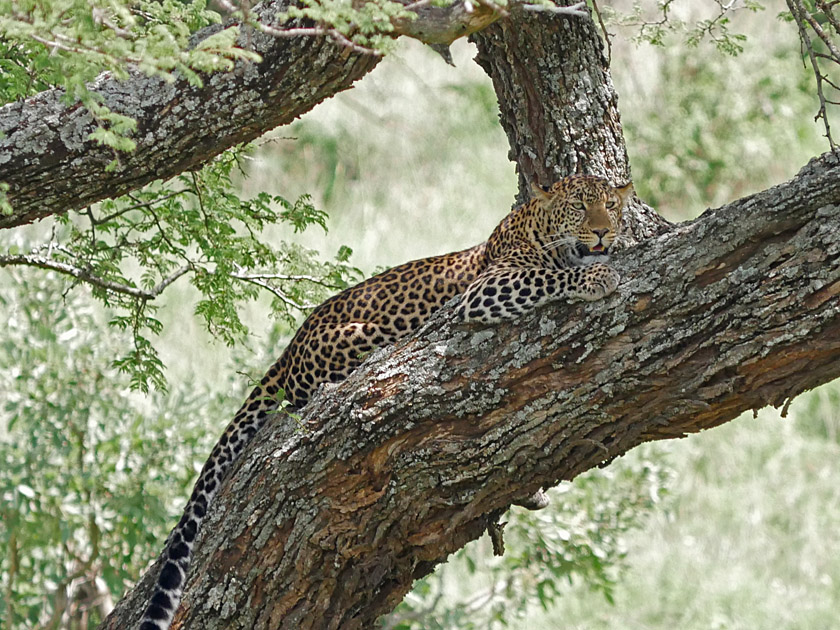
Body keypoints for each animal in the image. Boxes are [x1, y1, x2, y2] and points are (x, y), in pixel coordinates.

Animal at [138, 174, 632, 630]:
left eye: (610, 205)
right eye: (579, 206)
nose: (603, 233)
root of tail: (291, 345)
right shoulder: (484, 290)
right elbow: (548, 276)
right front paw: (597, 278)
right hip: (362, 335)